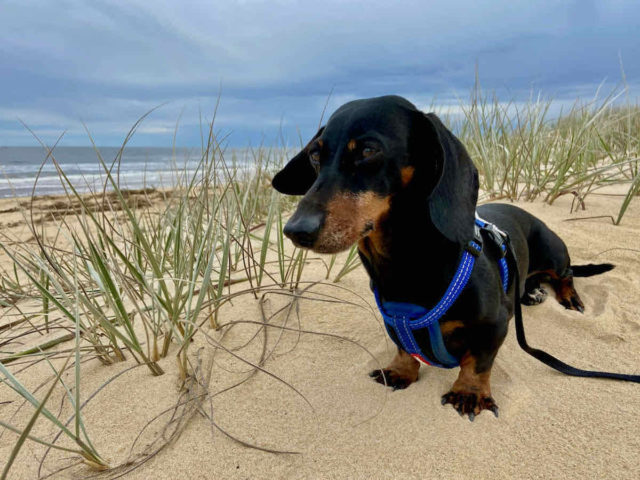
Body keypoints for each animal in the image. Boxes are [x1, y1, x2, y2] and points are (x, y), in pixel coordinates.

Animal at [272, 95, 616, 418]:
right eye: (315, 155)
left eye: (368, 151)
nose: (295, 230)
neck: (403, 264)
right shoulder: (394, 321)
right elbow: (403, 348)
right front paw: (400, 372)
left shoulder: (495, 324)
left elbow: (478, 361)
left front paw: (469, 392)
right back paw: (531, 293)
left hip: (552, 250)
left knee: (566, 273)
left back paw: (567, 296)